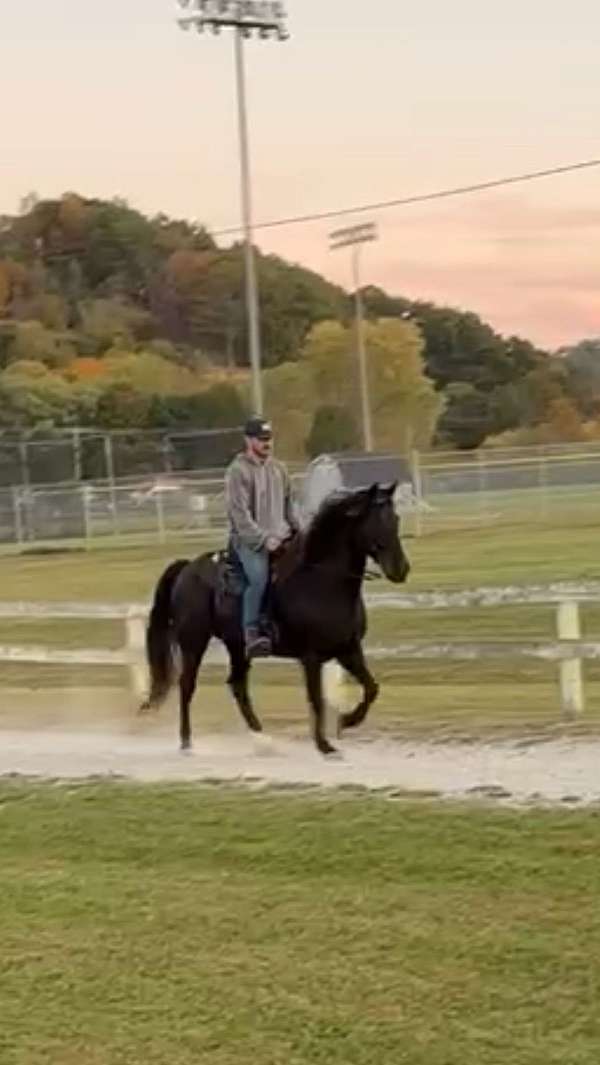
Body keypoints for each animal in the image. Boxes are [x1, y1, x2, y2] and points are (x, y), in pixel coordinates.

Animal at [142, 483, 411, 758]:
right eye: (375, 522)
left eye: (395, 519)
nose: (401, 569)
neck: (321, 582)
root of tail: (187, 568)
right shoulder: (311, 657)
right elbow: (316, 699)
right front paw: (324, 745)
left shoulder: (348, 649)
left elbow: (371, 687)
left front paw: (346, 722)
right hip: (193, 643)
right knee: (187, 685)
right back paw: (186, 742)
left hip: (238, 646)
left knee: (237, 685)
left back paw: (263, 739)